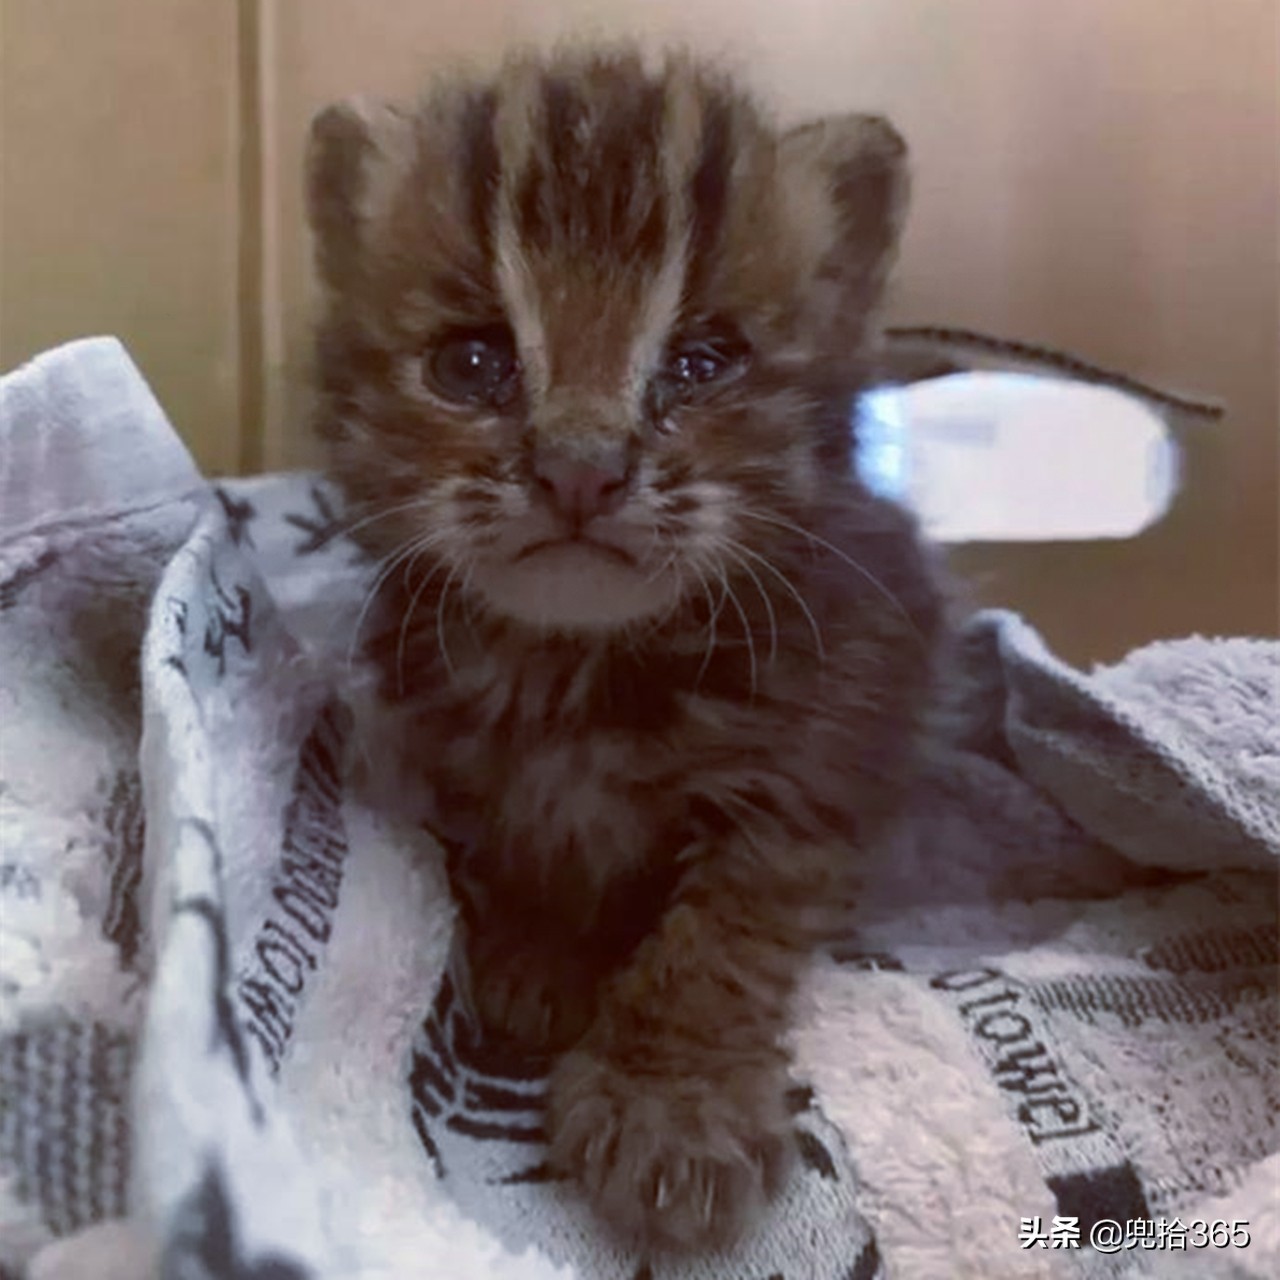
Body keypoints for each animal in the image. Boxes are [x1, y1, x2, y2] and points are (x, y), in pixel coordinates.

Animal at [308, 47, 947, 1249]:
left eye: (700, 363)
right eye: (472, 362)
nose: (579, 469)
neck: (581, 669)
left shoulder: (824, 752)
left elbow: (726, 932)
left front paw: (673, 1100)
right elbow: (510, 841)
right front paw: (537, 949)